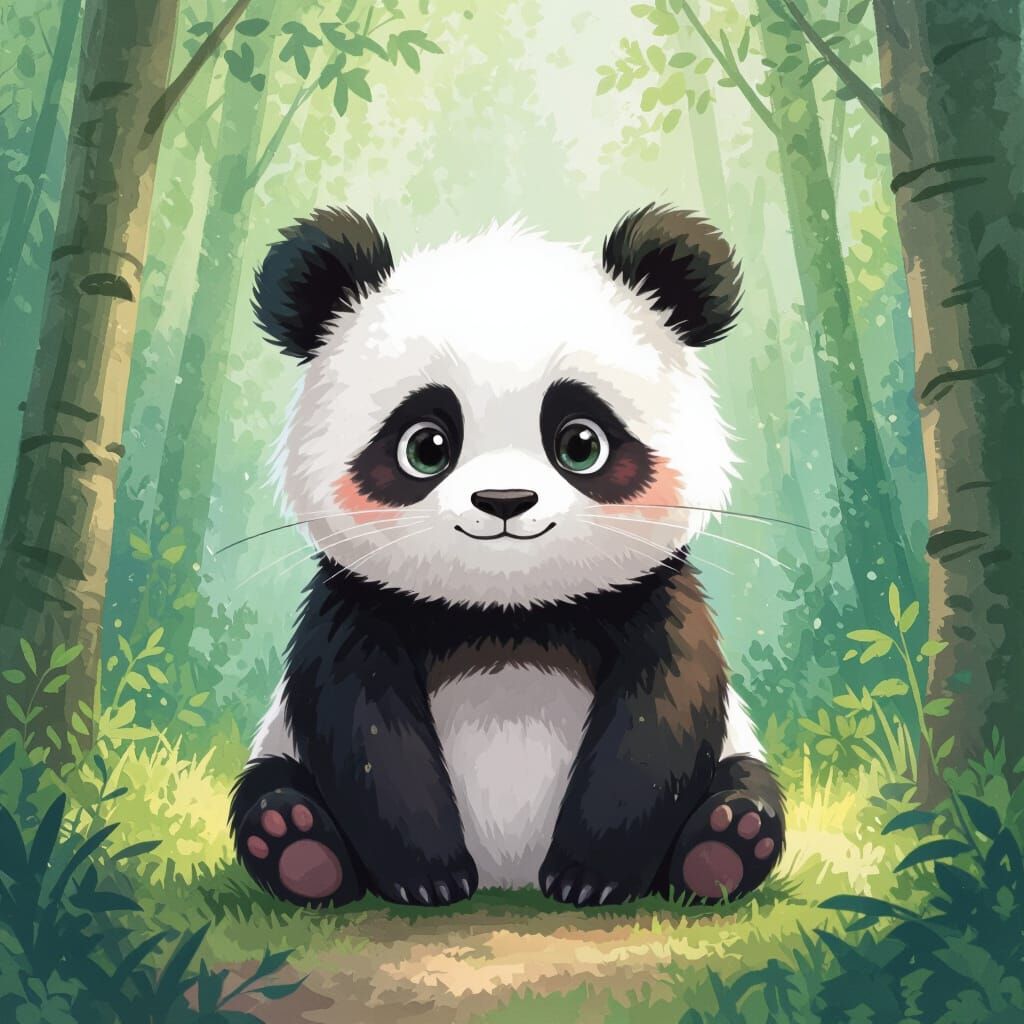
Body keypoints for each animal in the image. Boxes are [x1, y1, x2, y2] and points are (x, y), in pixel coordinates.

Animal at [228, 205, 785, 909]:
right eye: (426, 446)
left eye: (581, 443)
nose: (504, 501)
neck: (507, 608)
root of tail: (507, 876)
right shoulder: (354, 602)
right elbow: (362, 724)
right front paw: (429, 878)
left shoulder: (657, 594)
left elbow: (660, 713)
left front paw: (589, 877)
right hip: (277, 748)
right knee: (270, 783)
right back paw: (296, 844)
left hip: (741, 751)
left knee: (744, 781)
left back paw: (725, 845)